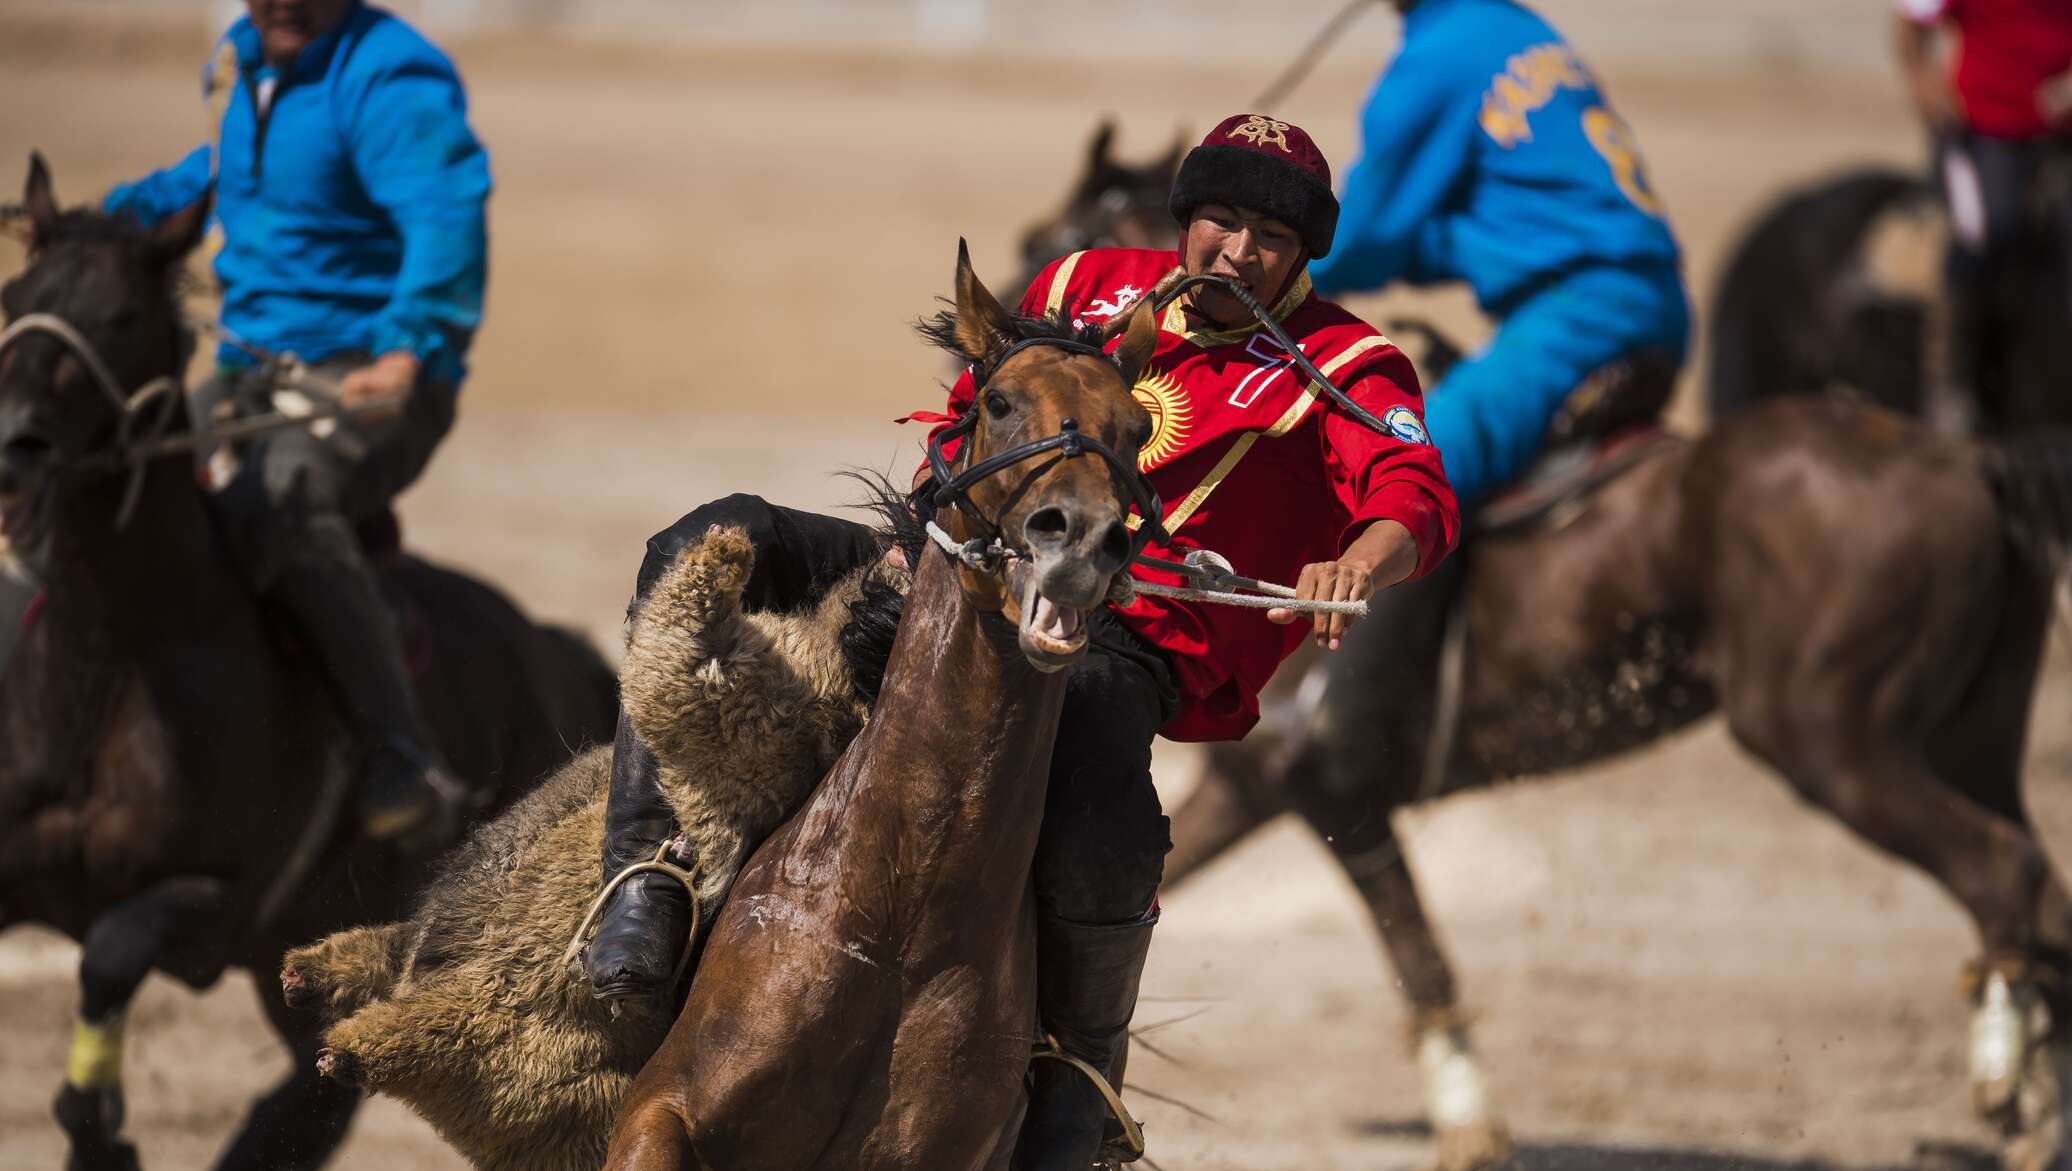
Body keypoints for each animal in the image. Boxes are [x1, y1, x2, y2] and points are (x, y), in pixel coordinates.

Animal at [0, 157, 613, 1168]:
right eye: (17, 296)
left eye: (121, 315)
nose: (15, 445)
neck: (116, 674)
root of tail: (562, 652)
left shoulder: (221, 908)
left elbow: (110, 950)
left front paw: (104, 1130)